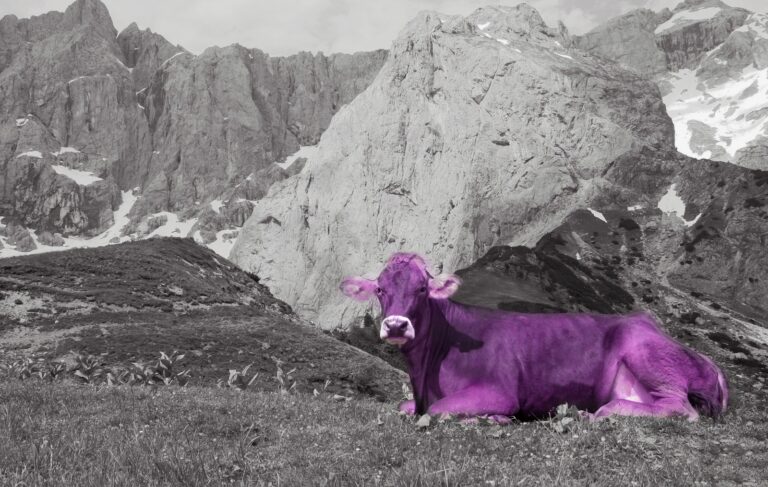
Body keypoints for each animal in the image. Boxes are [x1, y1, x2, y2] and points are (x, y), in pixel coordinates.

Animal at [340, 254, 728, 422]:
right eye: (380, 289)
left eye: (422, 288)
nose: (396, 326)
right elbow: (403, 406)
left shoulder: (499, 391)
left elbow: (438, 411)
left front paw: (492, 420)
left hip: (643, 350)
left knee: (681, 408)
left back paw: (601, 413)